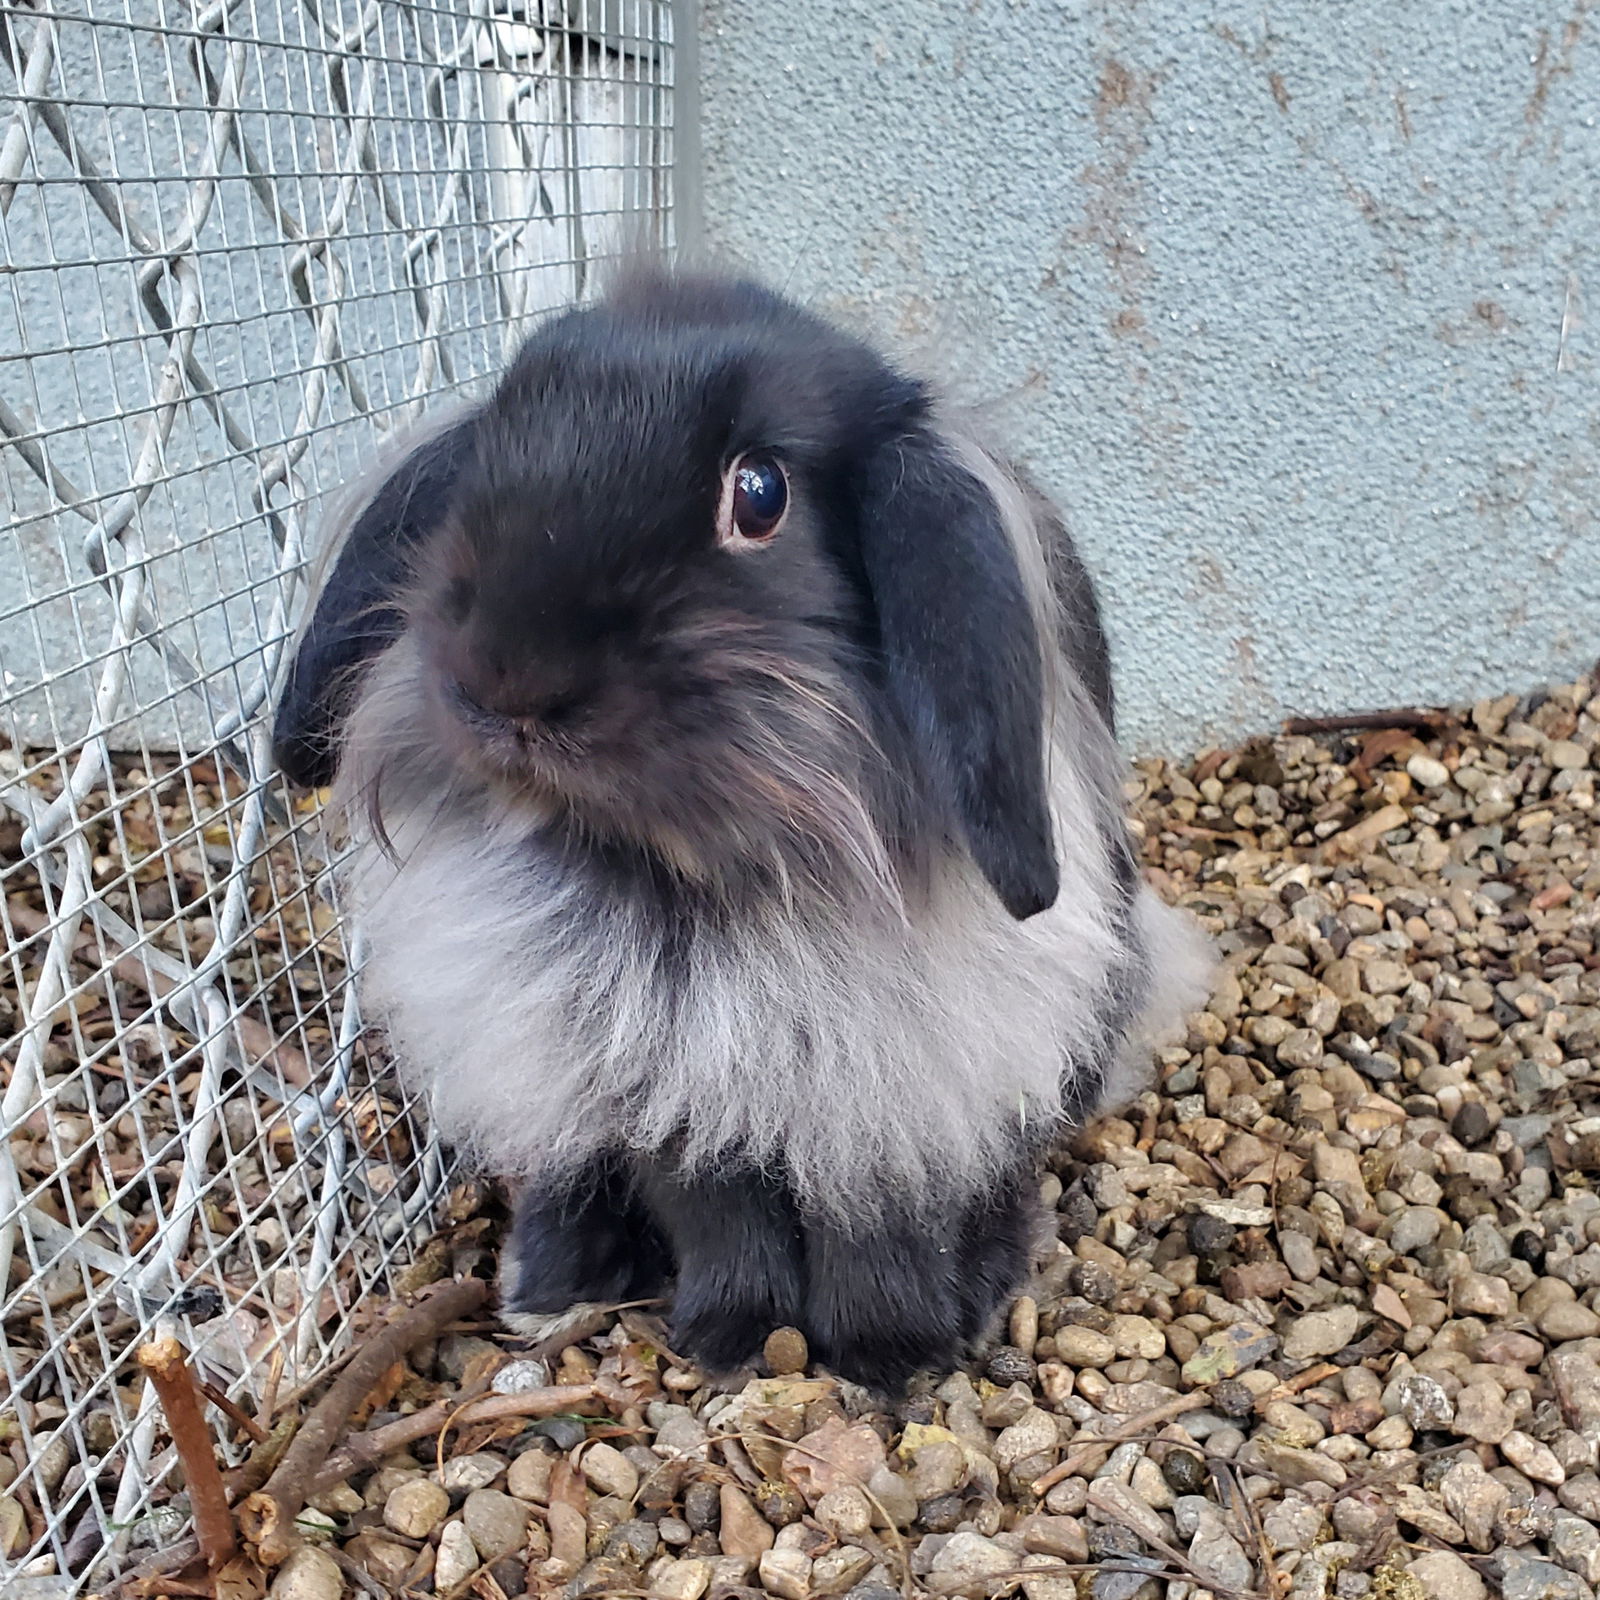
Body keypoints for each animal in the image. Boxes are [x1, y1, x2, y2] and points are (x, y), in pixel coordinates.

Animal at [272, 262, 1209, 1388]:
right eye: (492, 444)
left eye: (759, 494)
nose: (507, 684)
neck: (688, 883)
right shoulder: (665, 1092)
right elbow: (719, 1216)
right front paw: (731, 1334)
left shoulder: (891, 1099)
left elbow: (879, 1225)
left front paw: (887, 1352)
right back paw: (553, 1280)